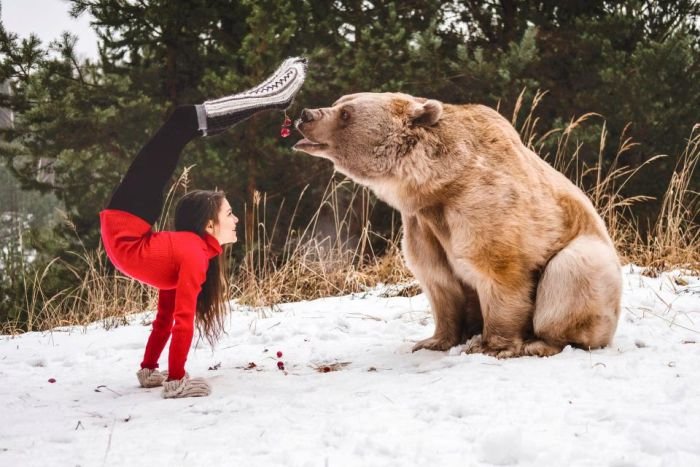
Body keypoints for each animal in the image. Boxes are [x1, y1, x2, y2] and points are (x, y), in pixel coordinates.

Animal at [292, 93, 620, 360]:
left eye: (346, 113)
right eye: (338, 102)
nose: (305, 115)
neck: (435, 186)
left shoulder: (483, 204)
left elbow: (500, 270)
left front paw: (493, 346)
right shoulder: (422, 224)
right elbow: (439, 280)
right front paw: (432, 341)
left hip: (591, 258)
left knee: (573, 271)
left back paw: (541, 342)